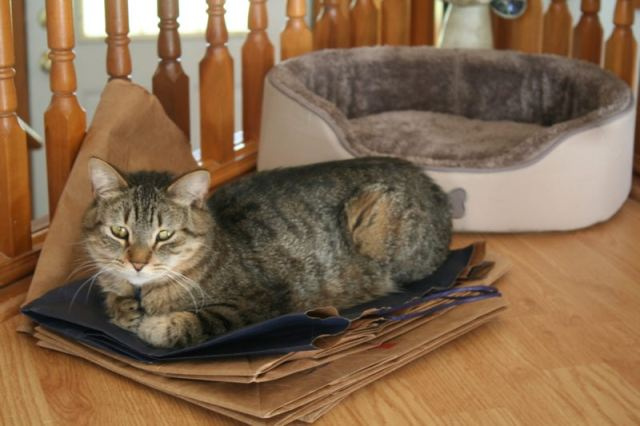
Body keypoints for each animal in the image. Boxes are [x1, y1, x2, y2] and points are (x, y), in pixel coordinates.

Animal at [82, 158, 452, 348]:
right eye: (120, 232)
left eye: (164, 235)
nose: (137, 263)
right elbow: (114, 301)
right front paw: (125, 309)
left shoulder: (258, 302)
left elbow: (192, 322)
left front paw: (152, 325)